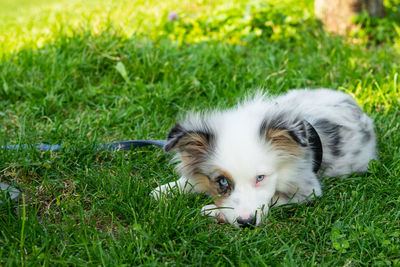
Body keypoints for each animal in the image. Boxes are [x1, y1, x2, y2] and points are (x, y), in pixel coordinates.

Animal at [152, 89, 376, 228]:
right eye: (222, 181)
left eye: (260, 178)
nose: (247, 223)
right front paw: (164, 191)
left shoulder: (307, 189)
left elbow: (274, 199)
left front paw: (214, 212)